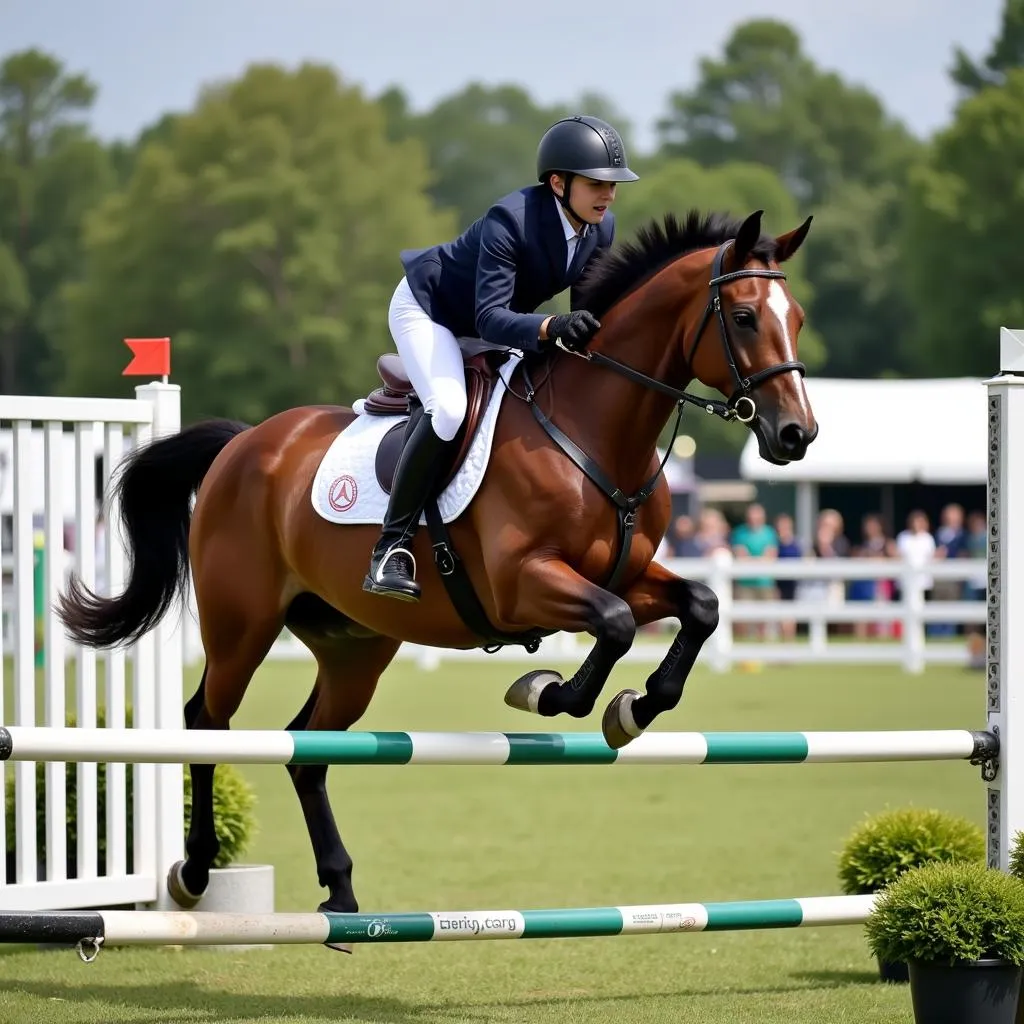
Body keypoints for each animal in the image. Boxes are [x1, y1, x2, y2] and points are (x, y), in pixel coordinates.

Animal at [59, 205, 819, 929]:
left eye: (798, 319)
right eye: (745, 317)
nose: (797, 434)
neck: (595, 430)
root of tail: (244, 443)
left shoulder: (625, 574)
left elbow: (699, 606)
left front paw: (633, 708)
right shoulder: (524, 584)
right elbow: (615, 624)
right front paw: (547, 692)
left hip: (354, 646)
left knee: (308, 746)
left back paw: (340, 889)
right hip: (241, 626)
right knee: (205, 722)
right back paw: (194, 871)